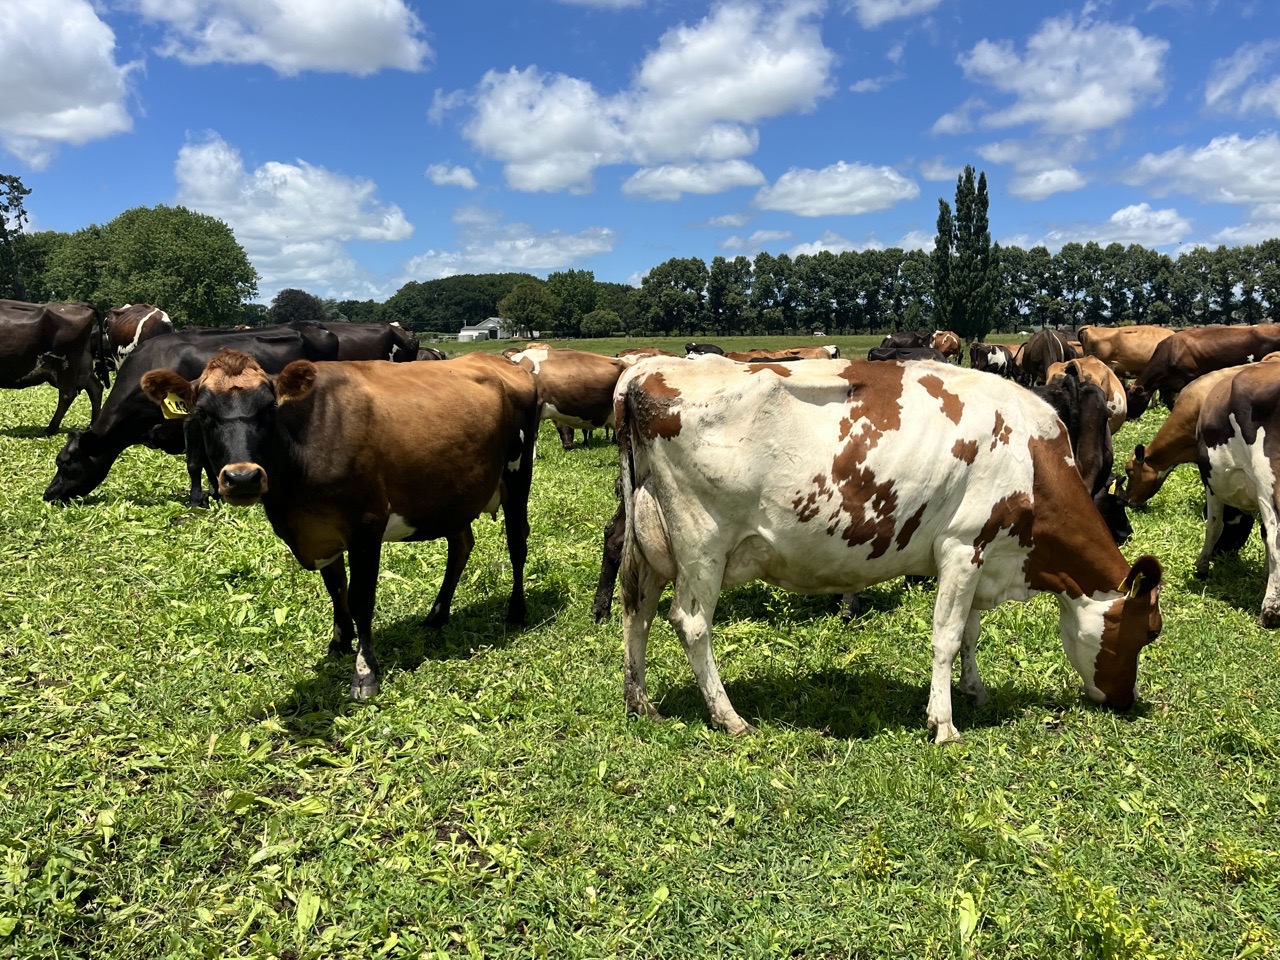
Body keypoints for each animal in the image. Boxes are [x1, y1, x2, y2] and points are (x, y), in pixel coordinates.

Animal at [0, 299, 102, 435]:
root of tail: (79, 304)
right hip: (83, 364)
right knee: (95, 388)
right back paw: (91, 426)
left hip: (67, 363)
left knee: (67, 394)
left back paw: (50, 429)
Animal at [43, 324, 342, 505]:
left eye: (67, 464)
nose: (49, 494)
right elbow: (210, 461)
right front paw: (217, 491)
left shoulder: (191, 419)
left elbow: (194, 462)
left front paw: (197, 499)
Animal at [137, 350, 540, 698]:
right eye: (204, 413)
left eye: (270, 409)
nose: (242, 478)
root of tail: (499, 359)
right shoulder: (321, 532)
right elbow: (336, 590)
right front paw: (339, 643)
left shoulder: (367, 526)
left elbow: (361, 598)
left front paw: (365, 672)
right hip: (451, 494)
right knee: (461, 545)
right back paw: (437, 616)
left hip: (518, 473)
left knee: (517, 543)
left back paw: (516, 611)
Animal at [613, 356, 1163, 742]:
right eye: (1147, 633)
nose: (1126, 701)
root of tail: (646, 369)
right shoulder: (963, 547)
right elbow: (947, 637)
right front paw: (943, 723)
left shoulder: (984, 553)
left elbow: (970, 634)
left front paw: (976, 691)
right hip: (701, 542)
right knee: (691, 623)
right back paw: (729, 717)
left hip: (651, 539)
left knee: (637, 611)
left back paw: (641, 702)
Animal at [1194, 361, 1280, 626]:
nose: (1221, 553)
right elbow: (1262, 533)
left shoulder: (1210, 483)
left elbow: (1213, 525)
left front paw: (1201, 566)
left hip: (1269, 481)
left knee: (1276, 540)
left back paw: (1269, 611)